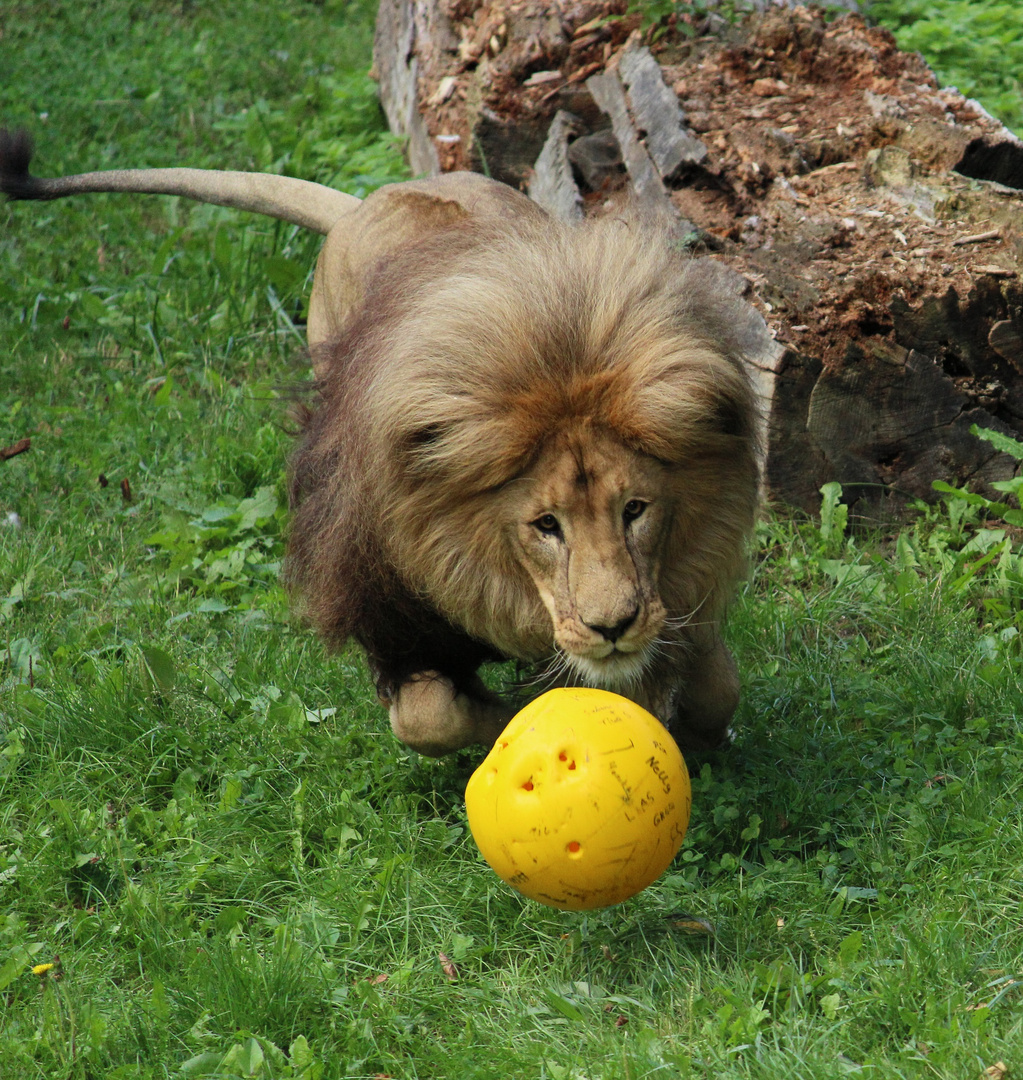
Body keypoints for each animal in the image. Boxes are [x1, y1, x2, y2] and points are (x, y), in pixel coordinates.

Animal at [0, 130, 760, 756]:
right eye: (545, 526)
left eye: (635, 510)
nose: (612, 626)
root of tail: (370, 199)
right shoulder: (397, 619)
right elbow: (433, 718)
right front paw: (514, 717)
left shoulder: (683, 585)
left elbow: (717, 685)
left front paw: (684, 716)